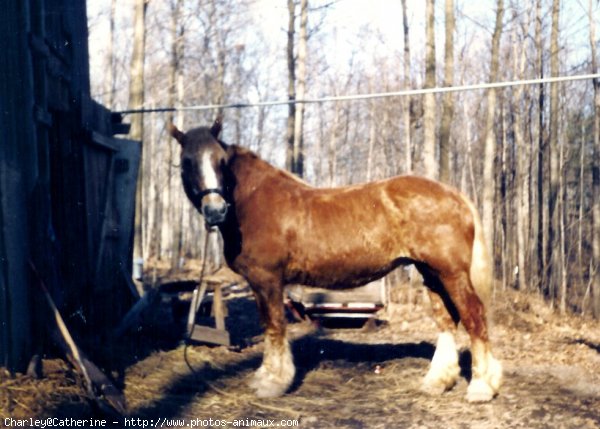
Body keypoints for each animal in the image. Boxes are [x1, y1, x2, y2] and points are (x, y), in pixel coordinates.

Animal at [168, 118, 502, 402]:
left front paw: (273, 382)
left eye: (221, 161)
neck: (254, 202)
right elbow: (268, 326)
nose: (215, 210)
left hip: (452, 273)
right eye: (187, 162)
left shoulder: (268, 279)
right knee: (447, 320)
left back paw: (481, 387)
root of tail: (454, 195)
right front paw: (265, 376)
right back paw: (438, 382)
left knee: (474, 317)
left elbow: (274, 327)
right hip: (431, 273)